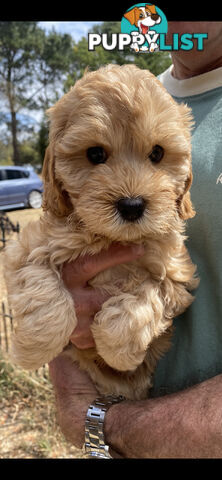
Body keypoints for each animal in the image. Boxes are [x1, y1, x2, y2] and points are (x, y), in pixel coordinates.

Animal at [3, 64, 198, 402]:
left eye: (157, 153)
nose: (132, 205)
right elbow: (41, 288)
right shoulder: (26, 247)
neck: (110, 237)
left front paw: (116, 349)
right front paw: (33, 350)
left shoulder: (178, 277)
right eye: (95, 154)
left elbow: (147, 297)